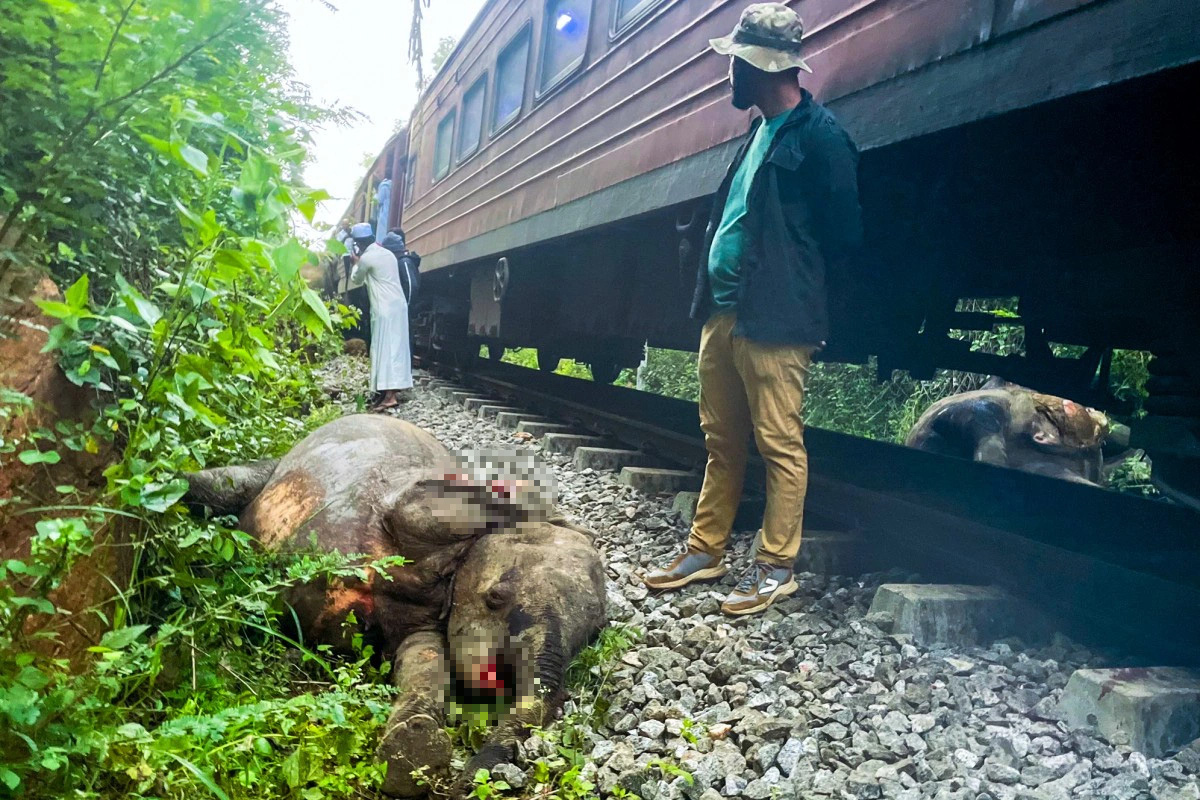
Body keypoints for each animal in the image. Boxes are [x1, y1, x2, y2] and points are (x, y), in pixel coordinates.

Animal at [186, 417, 609, 796]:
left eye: (593, 635)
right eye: (495, 598)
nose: (464, 785)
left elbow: (423, 658)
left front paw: (413, 747)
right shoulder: (415, 501)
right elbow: (417, 513)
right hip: (275, 466)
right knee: (220, 485)